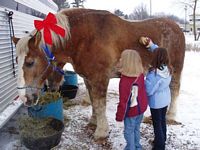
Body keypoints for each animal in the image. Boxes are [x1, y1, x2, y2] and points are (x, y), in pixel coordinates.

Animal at [13, 8, 184, 139]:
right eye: (17, 60)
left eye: (30, 62)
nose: (24, 98)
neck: (84, 38)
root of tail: (177, 28)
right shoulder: (89, 79)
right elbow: (94, 102)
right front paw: (94, 121)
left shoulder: (100, 79)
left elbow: (100, 104)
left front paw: (101, 132)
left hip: (175, 69)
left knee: (174, 90)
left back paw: (170, 115)